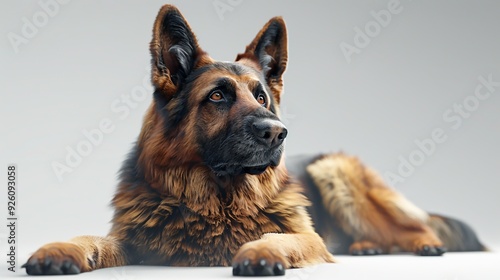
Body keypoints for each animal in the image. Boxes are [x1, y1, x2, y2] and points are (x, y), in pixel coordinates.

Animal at [22, 3, 484, 276]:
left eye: (261, 96)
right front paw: (58, 249)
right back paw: (367, 248)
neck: (217, 197)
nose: (277, 132)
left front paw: (260, 252)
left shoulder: (307, 237)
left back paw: (423, 245)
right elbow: (91, 238)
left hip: (334, 170)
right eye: (218, 96)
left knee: (411, 225)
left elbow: (276, 236)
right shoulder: (136, 238)